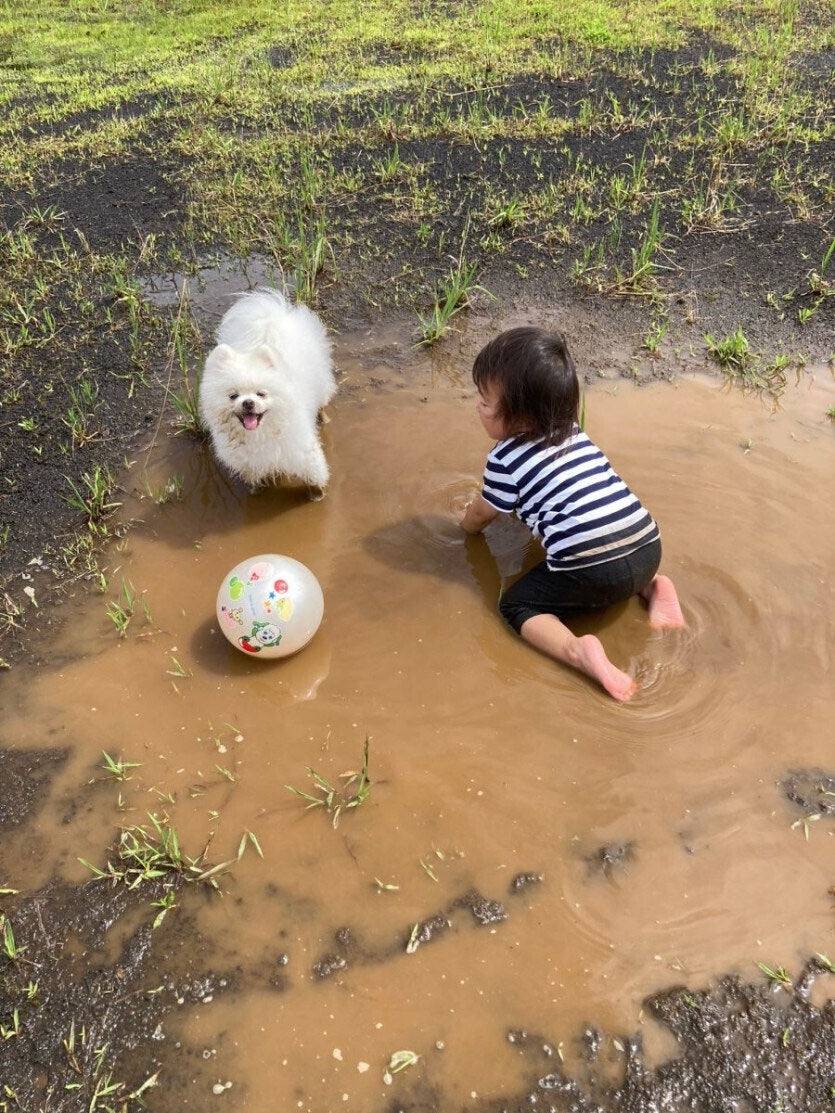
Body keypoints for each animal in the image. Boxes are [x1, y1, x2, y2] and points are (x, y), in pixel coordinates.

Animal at [199, 291, 336, 491]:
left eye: (261, 394)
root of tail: (275, 316)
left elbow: (315, 476)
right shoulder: (250, 465)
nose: (248, 403)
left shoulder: (302, 452)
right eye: (233, 396)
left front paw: (319, 492)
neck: (259, 435)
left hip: (322, 381)